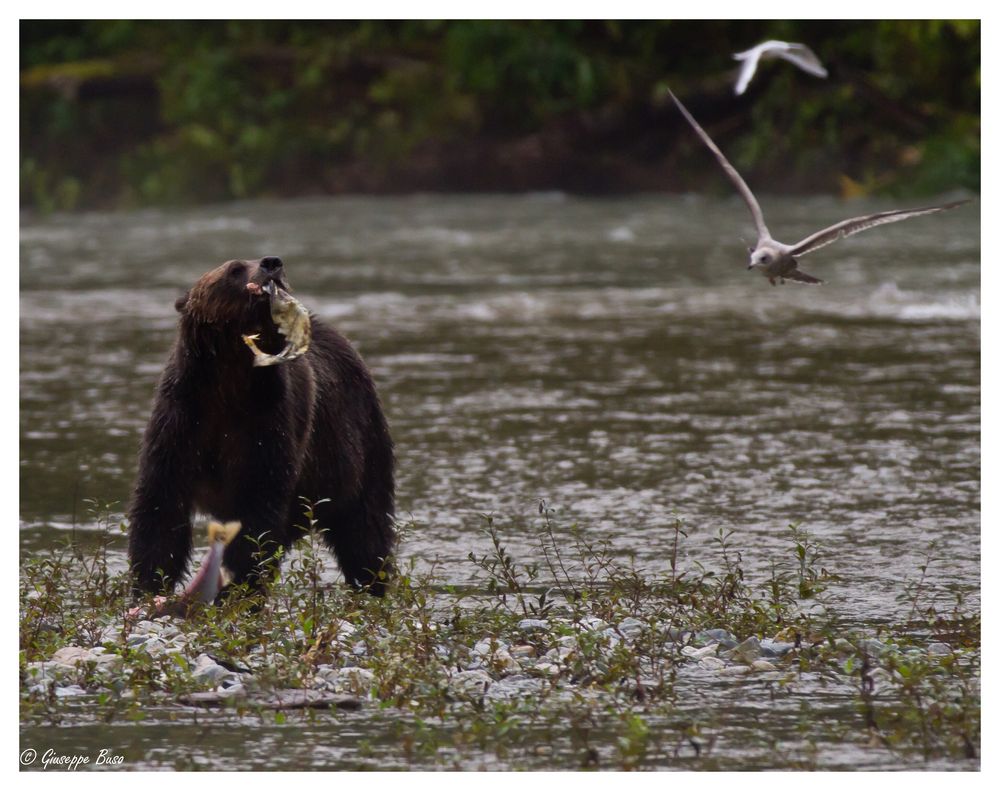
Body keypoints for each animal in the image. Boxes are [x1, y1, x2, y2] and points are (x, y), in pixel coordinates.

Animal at [131, 256, 396, 596]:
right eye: (234, 268)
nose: (272, 263)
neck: (229, 379)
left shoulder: (267, 424)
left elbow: (257, 515)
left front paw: (237, 588)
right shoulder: (183, 420)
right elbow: (159, 509)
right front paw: (148, 584)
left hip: (357, 446)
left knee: (365, 530)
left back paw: (371, 584)